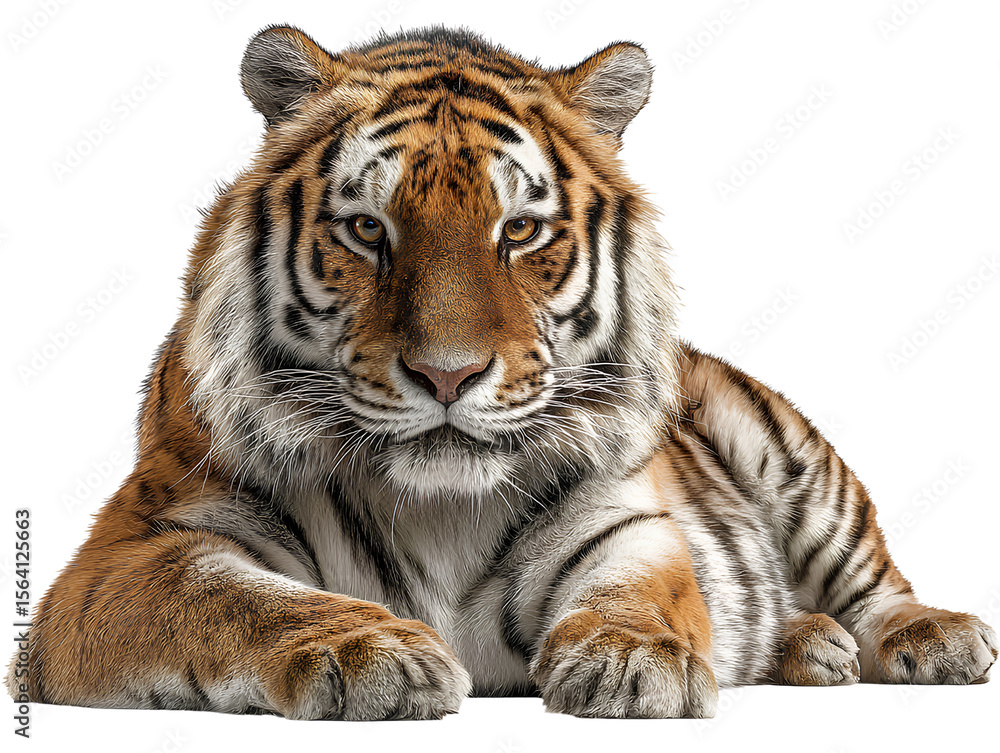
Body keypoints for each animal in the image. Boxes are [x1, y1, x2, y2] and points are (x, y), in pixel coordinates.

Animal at [7, 25, 996, 721]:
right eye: (366, 229)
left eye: (518, 231)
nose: (448, 377)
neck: (438, 506)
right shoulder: (134, 548)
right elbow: (235, 599)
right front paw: (375, 653)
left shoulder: (624, 520)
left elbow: (640, 591)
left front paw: (634, 659)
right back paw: (810, 643)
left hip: (788, 450)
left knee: (873, 579)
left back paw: (931, 637)